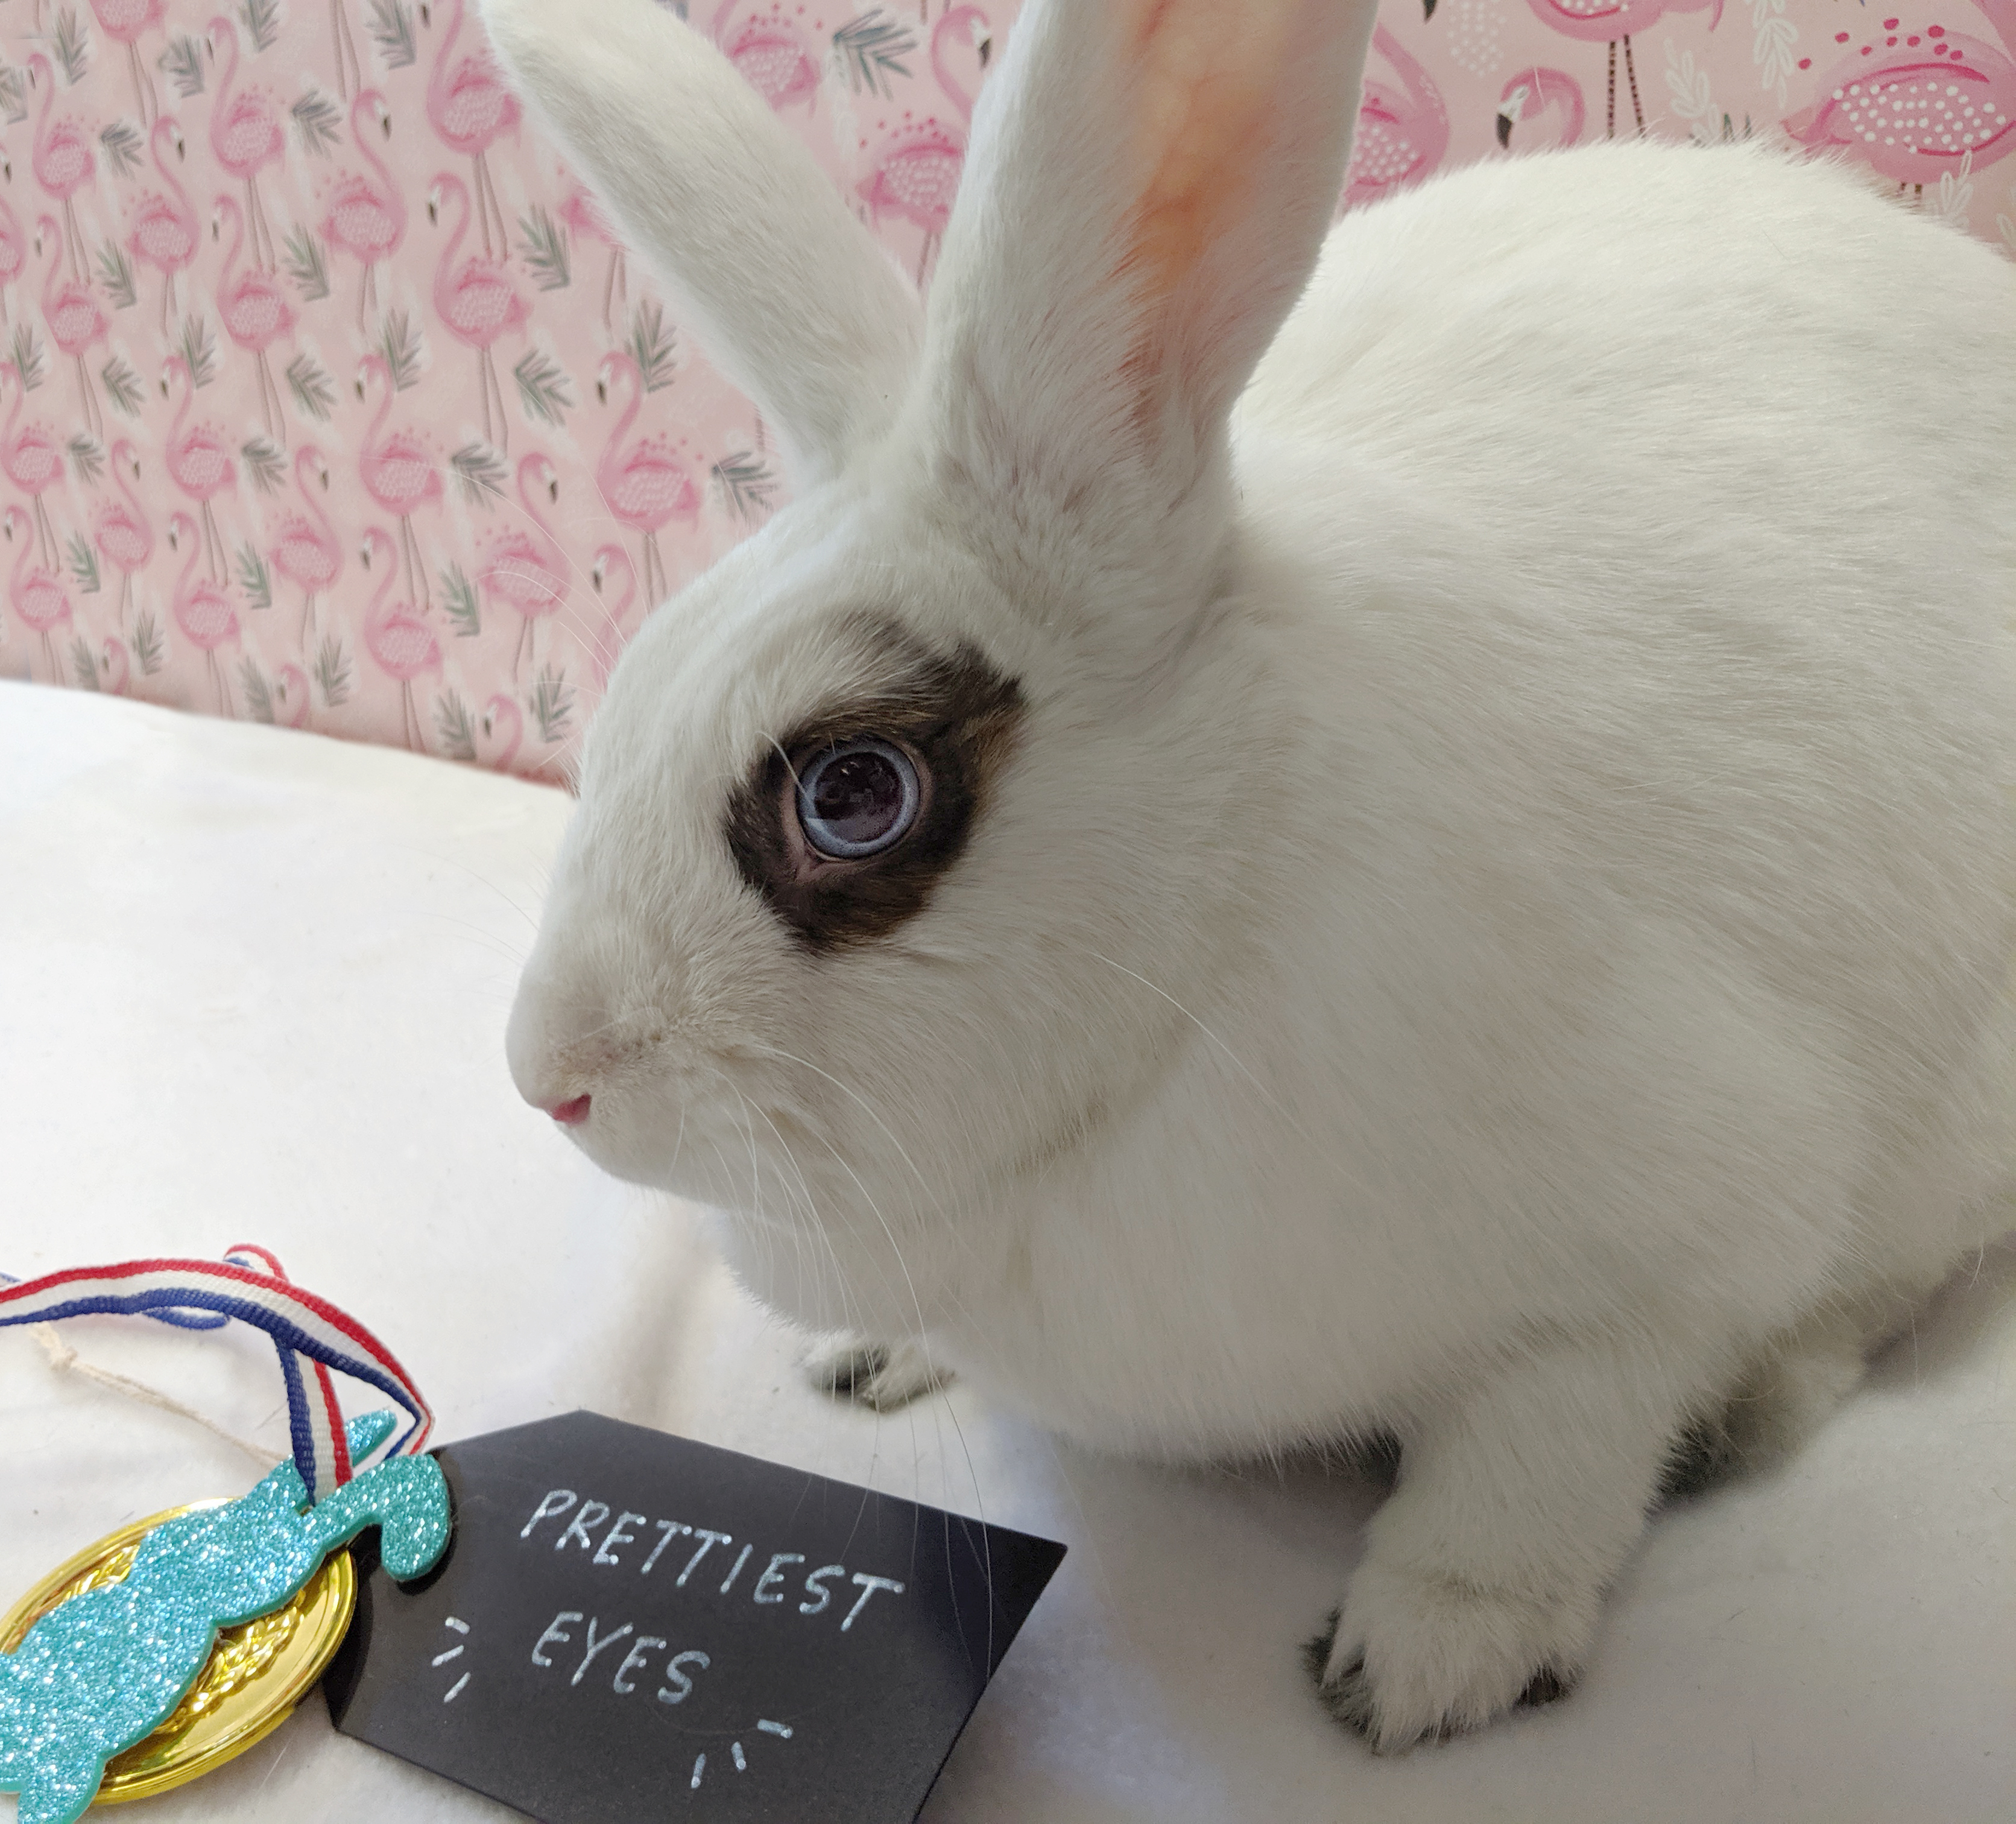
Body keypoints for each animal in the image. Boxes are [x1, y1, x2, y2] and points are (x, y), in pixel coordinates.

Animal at [483, 0, 2016, 1752]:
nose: (549, 1079)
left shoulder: (1654, 1268)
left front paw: (1421, 1662)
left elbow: (1530, 1469)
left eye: (853, 793)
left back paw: (1744, 1415)